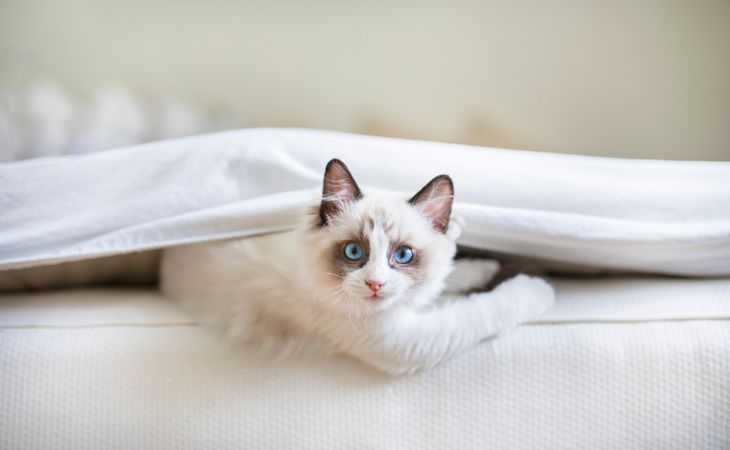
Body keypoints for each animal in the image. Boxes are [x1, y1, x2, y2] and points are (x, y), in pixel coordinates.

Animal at [161, 160, 552, 374]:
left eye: (403, 256)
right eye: (353, 252)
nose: (375, 284)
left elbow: (453, 277)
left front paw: (489, 266)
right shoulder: (405, 342)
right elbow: (487, 309)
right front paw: (538, 285)